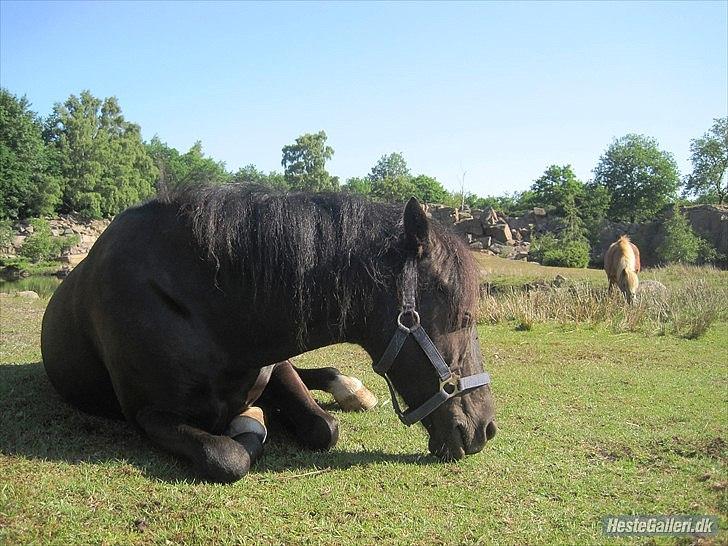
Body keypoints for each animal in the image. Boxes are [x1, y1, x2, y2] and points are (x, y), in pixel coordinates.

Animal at [39, 186, 494, 480]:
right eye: (464, 317)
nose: (485, 428)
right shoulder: (147, 415)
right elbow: (227, 456)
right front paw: (250, 422)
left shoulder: (275, 366)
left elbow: (324, 428)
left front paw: (259, 415)